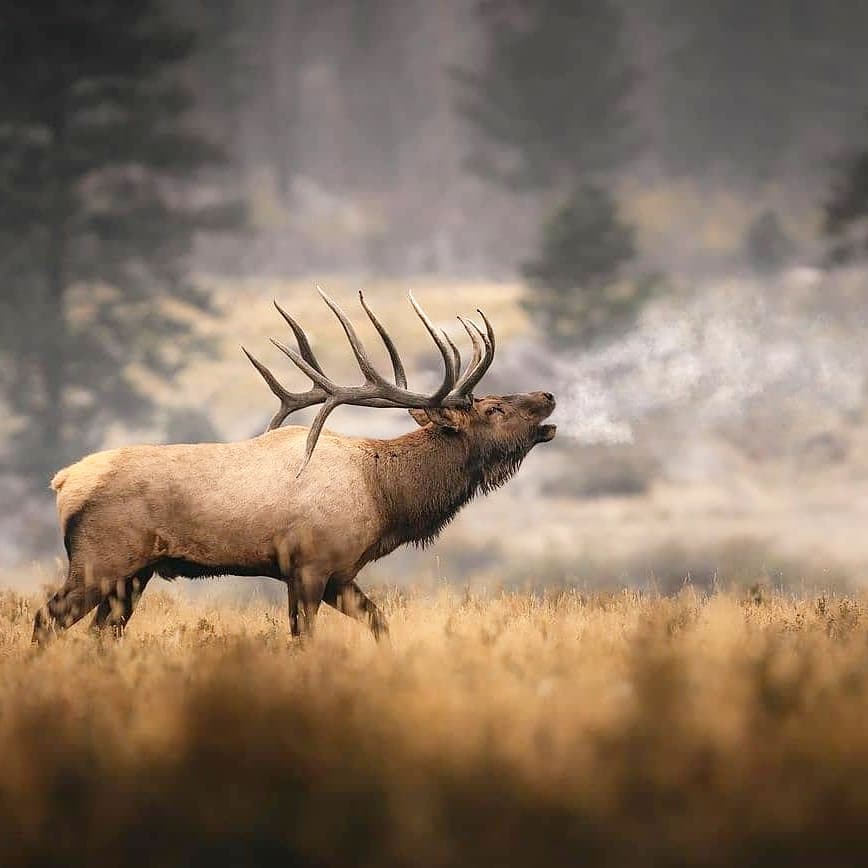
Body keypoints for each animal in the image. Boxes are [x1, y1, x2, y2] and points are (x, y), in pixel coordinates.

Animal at [32, 288, 556, 644]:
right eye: (494, 409)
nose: (548, 396)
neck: (385, 499)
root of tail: (63, 481)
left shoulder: (340, 574)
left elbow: (380, 622)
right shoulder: (310, 565)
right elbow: (304, 640)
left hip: (134, 573)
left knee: (101, 632)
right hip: (100, 559)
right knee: (47, 617)